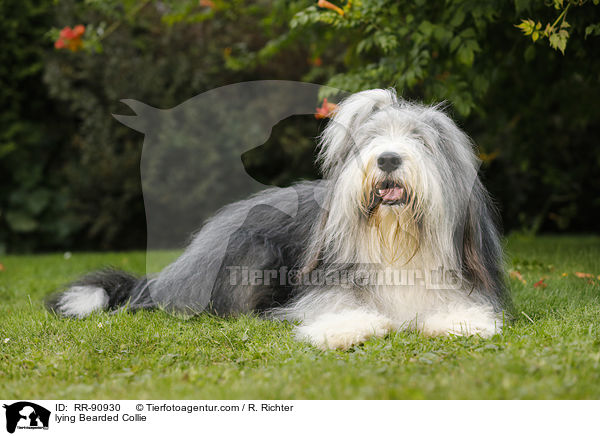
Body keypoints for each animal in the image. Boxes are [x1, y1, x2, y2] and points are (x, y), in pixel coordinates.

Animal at [47, 89, 510, 350]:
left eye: (421, 140)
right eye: (369, 140)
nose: (388, 158)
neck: (398, 241)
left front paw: (461, 323)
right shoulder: (326, 277)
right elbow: (334, 305)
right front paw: (346, 329)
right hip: (252, 251)